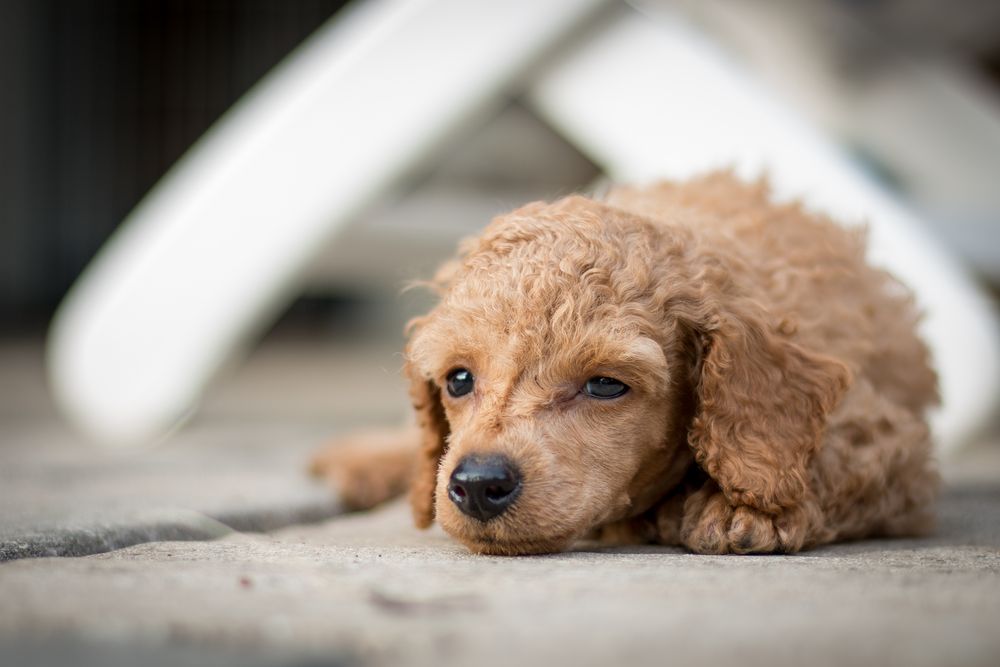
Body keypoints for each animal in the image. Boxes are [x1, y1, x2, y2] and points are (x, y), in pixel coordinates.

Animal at [310, 174, 936, 560]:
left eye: (606, 385)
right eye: (458, 380)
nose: (479, 485)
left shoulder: (891, 437)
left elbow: (830, 459)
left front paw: (742, 507)